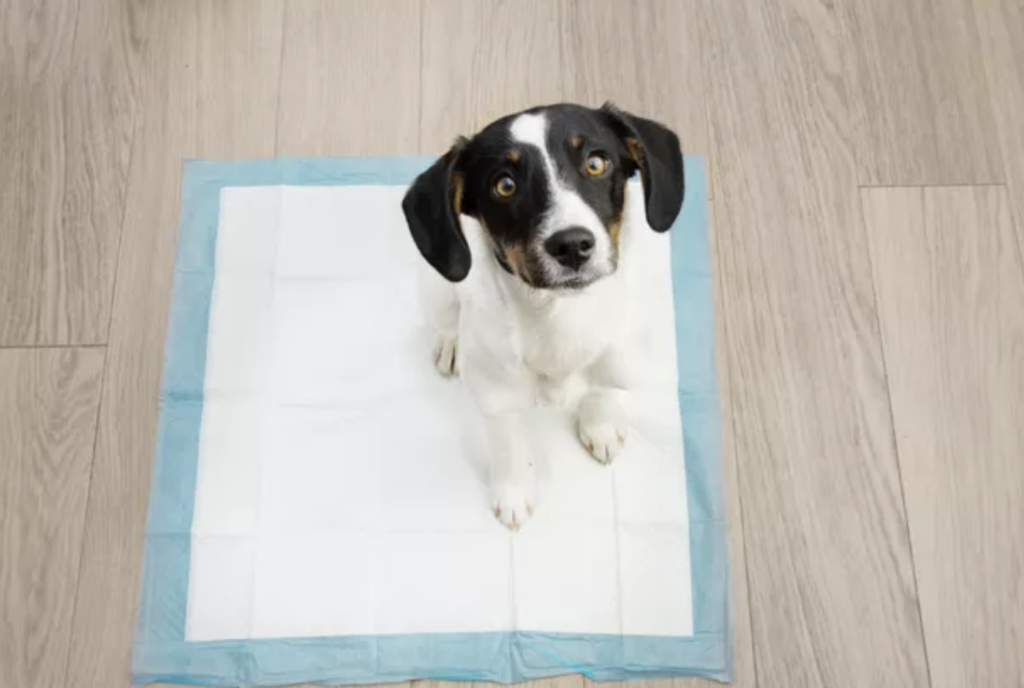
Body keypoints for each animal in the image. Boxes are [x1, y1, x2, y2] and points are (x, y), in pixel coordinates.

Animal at [403, 103, 684, 532]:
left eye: (596, 162)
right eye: (504, 185)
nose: (572, 245)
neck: (562, 317)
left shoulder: (616, 358)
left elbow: (602, 388)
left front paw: (600, 424)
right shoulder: (497, 398)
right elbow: (508, 443)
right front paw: (513, 494)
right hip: (438, 291)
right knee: (446, 323)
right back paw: (450, 347)